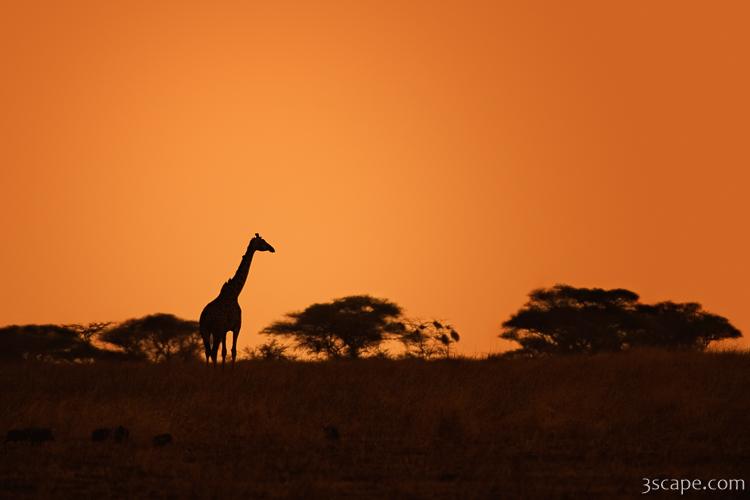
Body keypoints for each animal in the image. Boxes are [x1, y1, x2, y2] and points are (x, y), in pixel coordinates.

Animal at [199, 233, 275, 366]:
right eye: (263, 241)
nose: (272, 248)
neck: (234, 294)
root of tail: (205, 316)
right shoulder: (236, 327)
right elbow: (233, 351)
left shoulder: (225, 330)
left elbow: (224, 352)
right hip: (216, 331)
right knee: (213, 352)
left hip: (205, 331)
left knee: (208, 352)